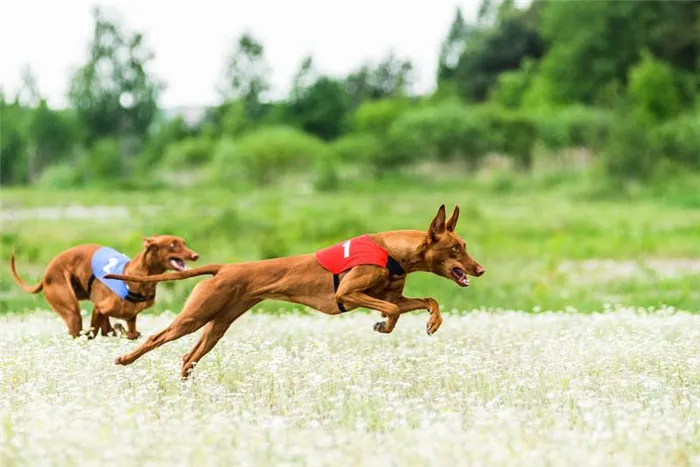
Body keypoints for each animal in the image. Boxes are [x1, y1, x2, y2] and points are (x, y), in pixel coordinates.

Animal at [10, 238, 200, 340]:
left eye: (183, 242)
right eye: (172, 245)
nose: (195, 255)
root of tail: (45, 276)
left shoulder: (130, 317)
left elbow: (128, 333)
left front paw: (121, 331)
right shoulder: (99, 308)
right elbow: (94, 332)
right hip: (71, 311)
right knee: (79, 330)